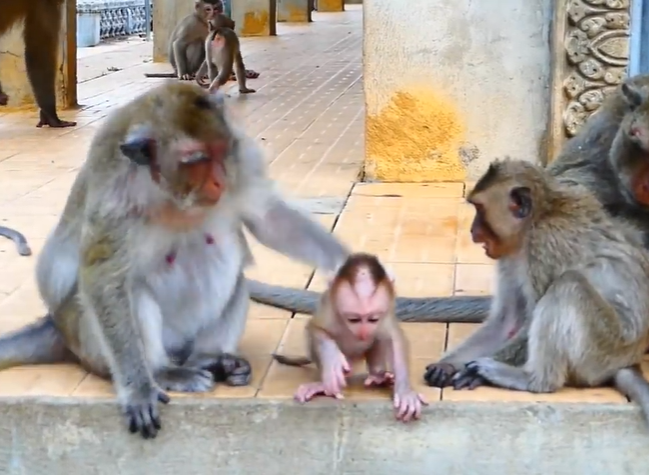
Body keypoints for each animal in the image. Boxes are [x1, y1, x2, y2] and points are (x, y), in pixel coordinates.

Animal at [0, 81, 350, 440]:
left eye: (221, 151)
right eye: (197, 160)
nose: (219, 181)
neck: (168, 192)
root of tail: (56, 326)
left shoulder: (240, 161)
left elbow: (267, 216)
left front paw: (344, 267)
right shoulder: (114, 191)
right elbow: (103, 275)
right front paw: (138, 390)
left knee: (235, 280)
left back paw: (212, 360)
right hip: (90, 343)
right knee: (131, 291)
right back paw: (161, 372)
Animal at [272, 253, 427, 422]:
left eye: (373, 319)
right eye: (354, 319)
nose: (363, 333)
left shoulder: (385, 314)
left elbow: (393, 337)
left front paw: (405, 392)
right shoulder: (330, 310)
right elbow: (315, 329)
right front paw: (332, 359)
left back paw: (378, 376)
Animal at [423, 159, 649, 429]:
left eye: (480, 209)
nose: (473, 232)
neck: (537, 218)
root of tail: (628, 359)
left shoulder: (545, 244)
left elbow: (530, 319)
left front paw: (470, 372)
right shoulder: (509, 254)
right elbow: (507, 320)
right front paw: (446, 365)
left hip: (603, 350)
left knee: (568, 285)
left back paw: (533, 380)